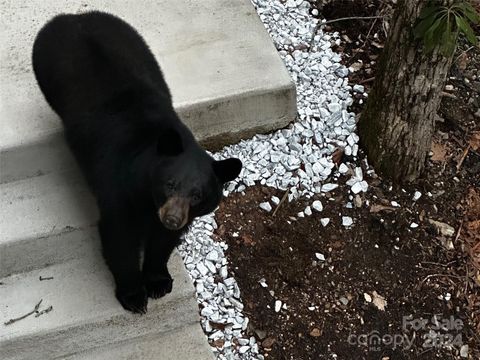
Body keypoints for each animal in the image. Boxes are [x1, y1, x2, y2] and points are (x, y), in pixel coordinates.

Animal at [31, 11, 242, 314]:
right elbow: (119, 238)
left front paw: (158, 282)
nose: (172, 218)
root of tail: (74, 15)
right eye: (170, 183)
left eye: (198, 195)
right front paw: (133, 296)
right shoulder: (118, 187)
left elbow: (163, 241)